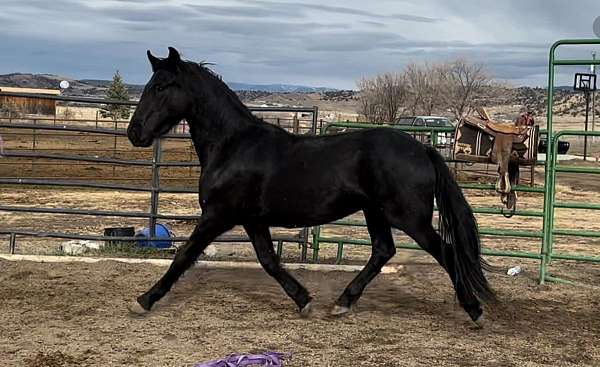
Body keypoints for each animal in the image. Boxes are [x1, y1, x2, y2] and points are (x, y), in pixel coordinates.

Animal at [125, 46, 492, 324]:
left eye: (161, 87)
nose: (134, 133)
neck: (233, 146)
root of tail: (423, 148)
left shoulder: (218, 215)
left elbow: (184, 255)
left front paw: (143, 300)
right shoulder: (252, 220)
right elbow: (269, 261)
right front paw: (304, 300)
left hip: (408, 217)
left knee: (444, 252)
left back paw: (474, 310)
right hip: (375, 212)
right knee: (383, 251)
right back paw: (342, 303)